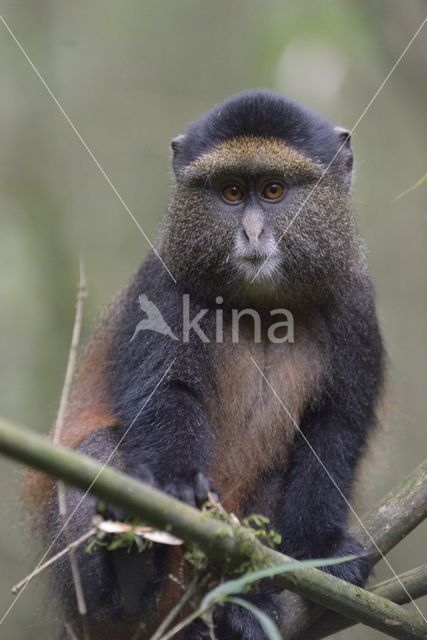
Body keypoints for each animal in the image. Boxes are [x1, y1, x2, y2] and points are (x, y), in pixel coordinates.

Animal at [28, 91, 386, 640]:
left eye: (274, 190)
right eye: (231, 192)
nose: (253, 232)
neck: (262, 308)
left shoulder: (355, 307)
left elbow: (335, 426)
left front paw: (319, 555)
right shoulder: (164, 288)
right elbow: (167, 393)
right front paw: (178, 483)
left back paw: (245, 604)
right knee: (98, 449)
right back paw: (128, 579)